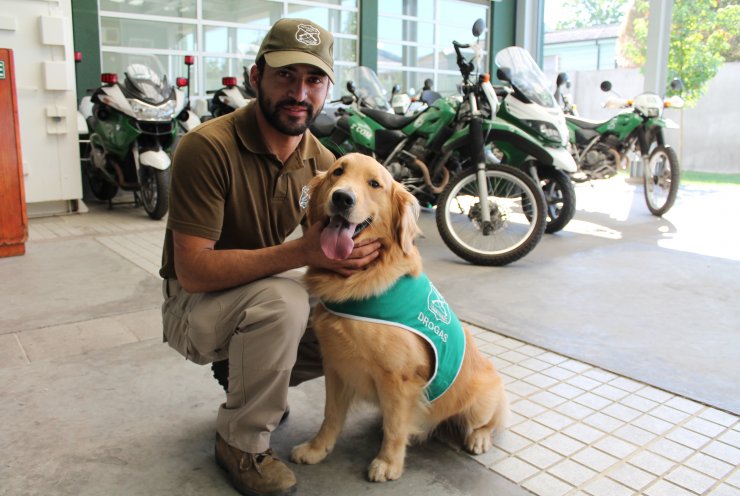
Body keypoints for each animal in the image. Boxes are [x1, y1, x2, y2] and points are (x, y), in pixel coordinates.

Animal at [290, 154, 508, 480]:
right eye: (337, 172)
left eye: (375, 183)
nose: (342, 198)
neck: (361, 280)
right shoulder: (336, 366)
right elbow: (331, 416)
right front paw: (317, 449)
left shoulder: (398, 378)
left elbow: (396, 427)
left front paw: (388, 463)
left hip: (481, 399)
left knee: (489, 421)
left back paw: (479, 438)